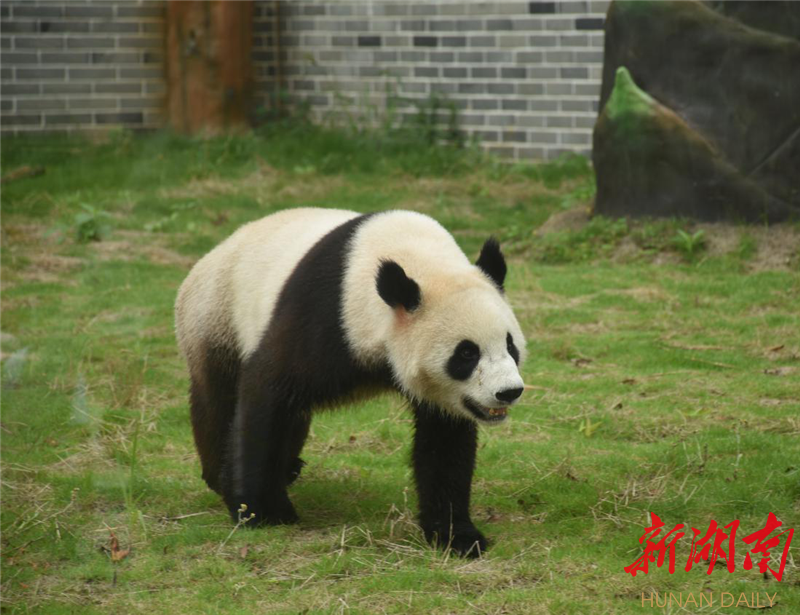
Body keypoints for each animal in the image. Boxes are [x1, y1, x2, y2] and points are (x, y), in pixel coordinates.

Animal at [174, 208, 524, 560]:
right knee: (218, 400)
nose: (508, 392)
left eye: (510, 345)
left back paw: (288, 468)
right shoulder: (323, 315)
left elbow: (445, 442)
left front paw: (457, 535)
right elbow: (267, 394)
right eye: (466, 353)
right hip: (215, 317)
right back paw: (222, 476)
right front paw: (263, 512)